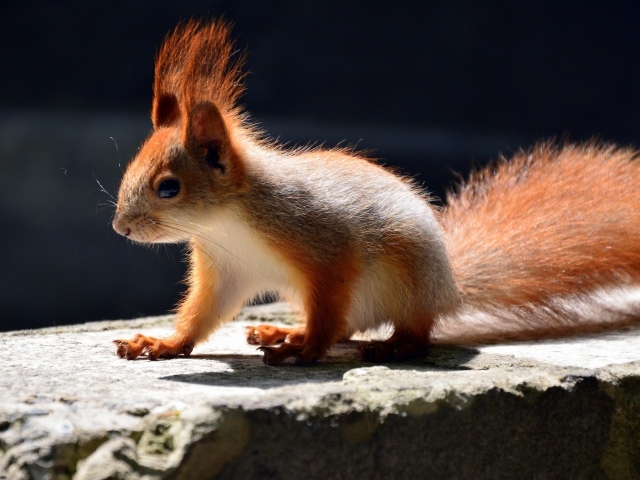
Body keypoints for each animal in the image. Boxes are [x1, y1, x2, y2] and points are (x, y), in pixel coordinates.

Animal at [112, 18, 640, 364]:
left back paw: (388, 344)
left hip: (406, 272)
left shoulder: (325, 249)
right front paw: (162, 344)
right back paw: (282, 329)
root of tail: (449, 286)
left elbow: (329, 306)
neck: (228, 223)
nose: (121, 228)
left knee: (409, 331)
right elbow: (202, 313)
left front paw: (307, 352)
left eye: (169, 188)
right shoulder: (225, 271)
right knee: (348, 325)